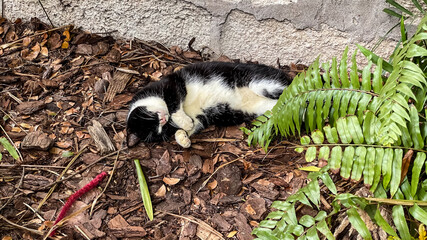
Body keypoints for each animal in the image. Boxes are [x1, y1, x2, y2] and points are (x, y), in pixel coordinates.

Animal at [127, 61, 292, 148]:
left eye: (152, 118)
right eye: (159, 131)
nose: (163, 119)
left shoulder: (172, 83)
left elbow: (174, 104)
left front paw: (184, 122)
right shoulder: (200, 116)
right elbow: (193, 126)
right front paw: (183, 138)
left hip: (260, 82)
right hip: (263, 108)